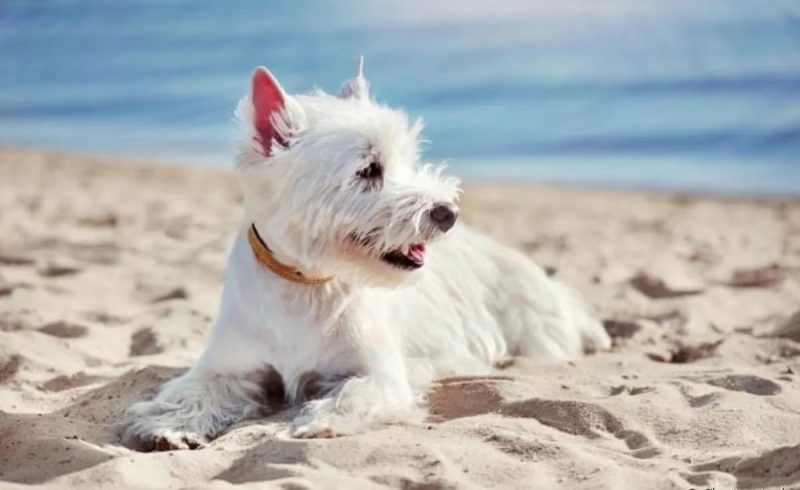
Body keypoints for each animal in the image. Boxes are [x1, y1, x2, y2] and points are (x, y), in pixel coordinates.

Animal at [126, 58, 612, 452]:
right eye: (367, 170)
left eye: (408, 160)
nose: (447, 212)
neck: (305, 282)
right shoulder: (230, 365)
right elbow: (194, 391)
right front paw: (168, 426)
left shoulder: (380, 371)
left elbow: (355, 391)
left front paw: (322, 420)